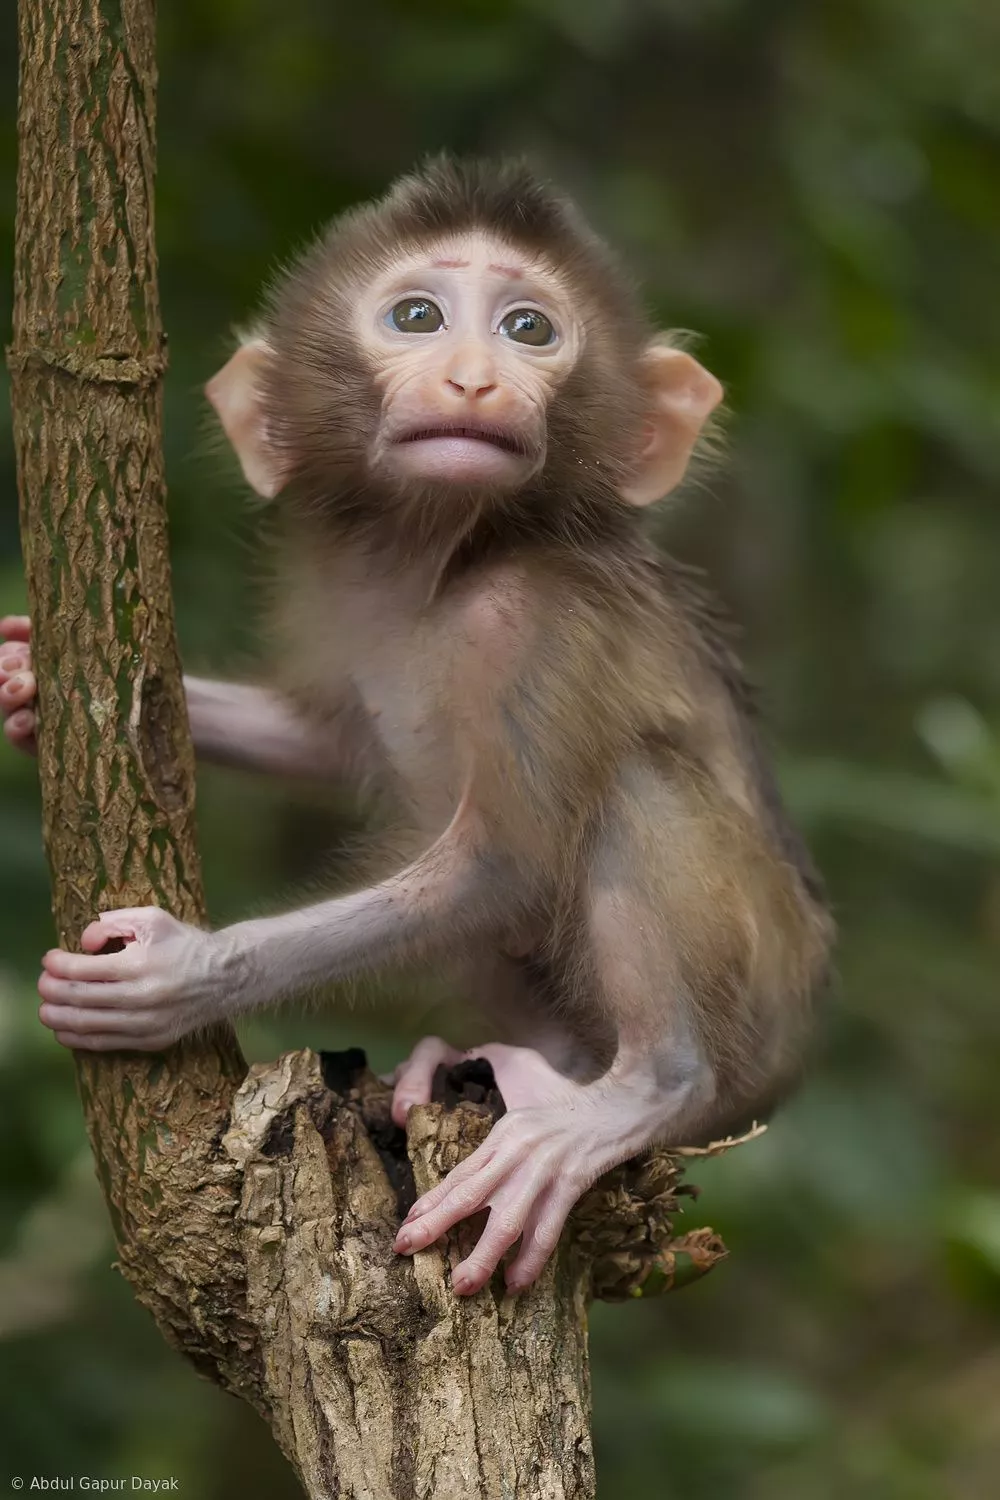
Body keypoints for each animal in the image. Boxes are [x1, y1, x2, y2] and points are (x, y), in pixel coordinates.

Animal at [2, 157, 833, 1296]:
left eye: (530, 327)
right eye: (416, 316)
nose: (476, 378)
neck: (440, 559)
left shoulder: (543, 618)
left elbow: (500, 865)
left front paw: (180, 973)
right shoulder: (341, 588)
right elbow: (322, 739)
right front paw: (22, 677)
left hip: (764, 1007)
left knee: (631, 789)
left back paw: (634, 1092)